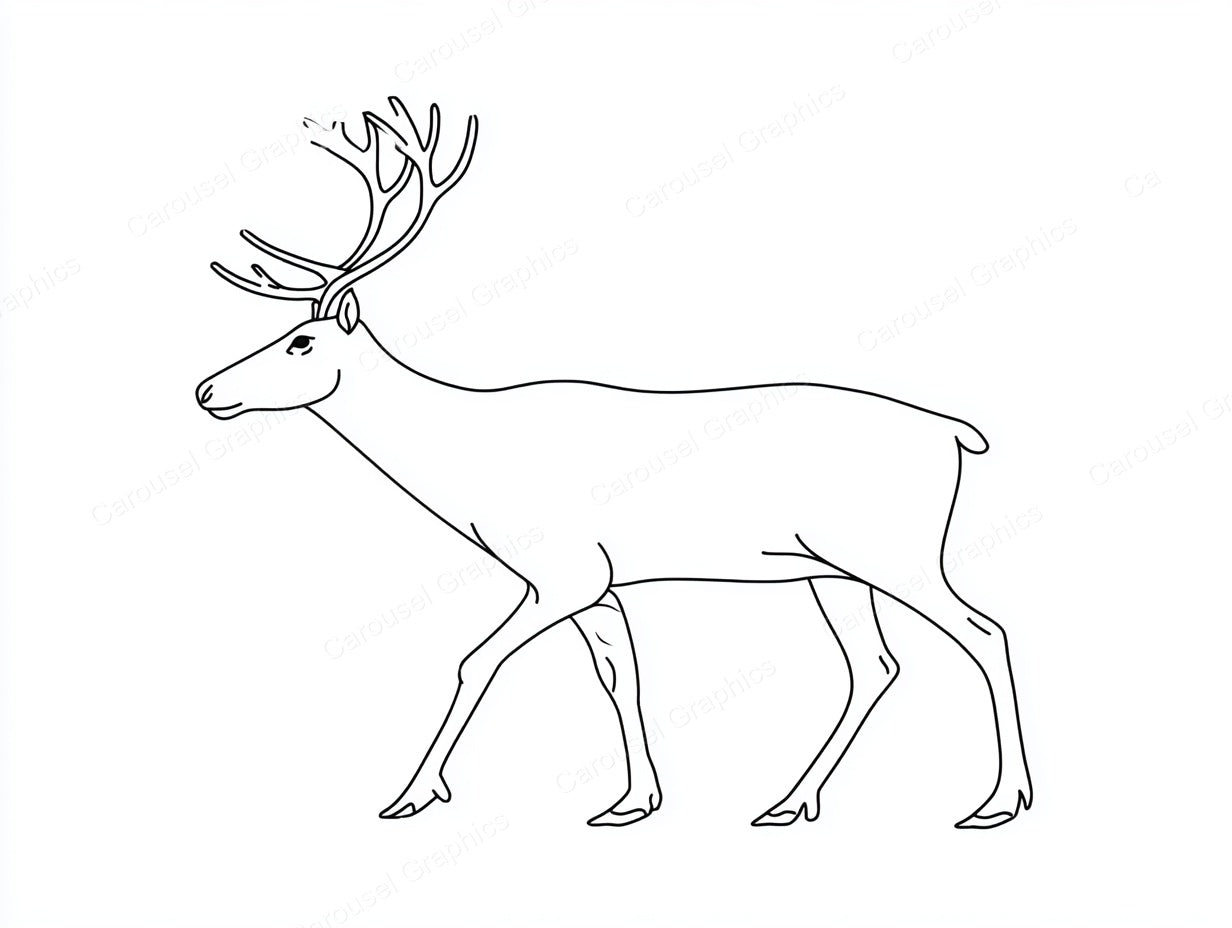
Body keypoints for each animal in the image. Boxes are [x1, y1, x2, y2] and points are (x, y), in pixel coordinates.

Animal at [195, 97, 1033, 830]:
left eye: (301, 342)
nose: (206, 390)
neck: (470, 469)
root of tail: (957, 433)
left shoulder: (560, 570)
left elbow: (474, 661)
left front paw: (411, 794)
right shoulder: (600, 584)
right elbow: (618, 677)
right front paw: (635, 801)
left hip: (895, 548)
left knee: (983, 631)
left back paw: (1000, 801)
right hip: (830, 566)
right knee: (877, 664)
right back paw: (789, 801)